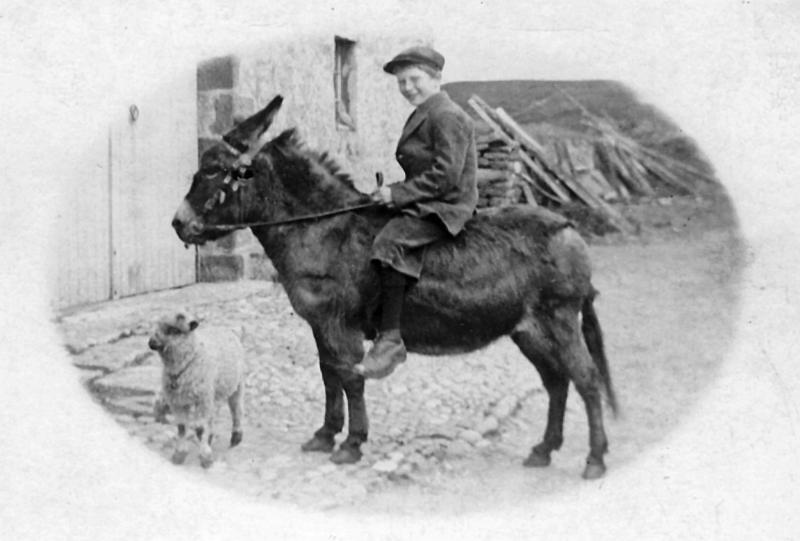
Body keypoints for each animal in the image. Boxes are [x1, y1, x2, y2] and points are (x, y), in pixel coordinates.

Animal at [148, 310, 244, 466]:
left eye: (175, 330)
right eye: (157, 326)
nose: (151, 343)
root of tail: (231, 330)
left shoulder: (202, 400)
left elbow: (200, 428)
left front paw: (205, 457)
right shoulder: (177, 401)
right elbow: (181, 426)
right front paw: (179, 455)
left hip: (237, 385)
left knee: (237, 410)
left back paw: (236, 437)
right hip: (212, 394)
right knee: (213, 416)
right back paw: (211, 437)